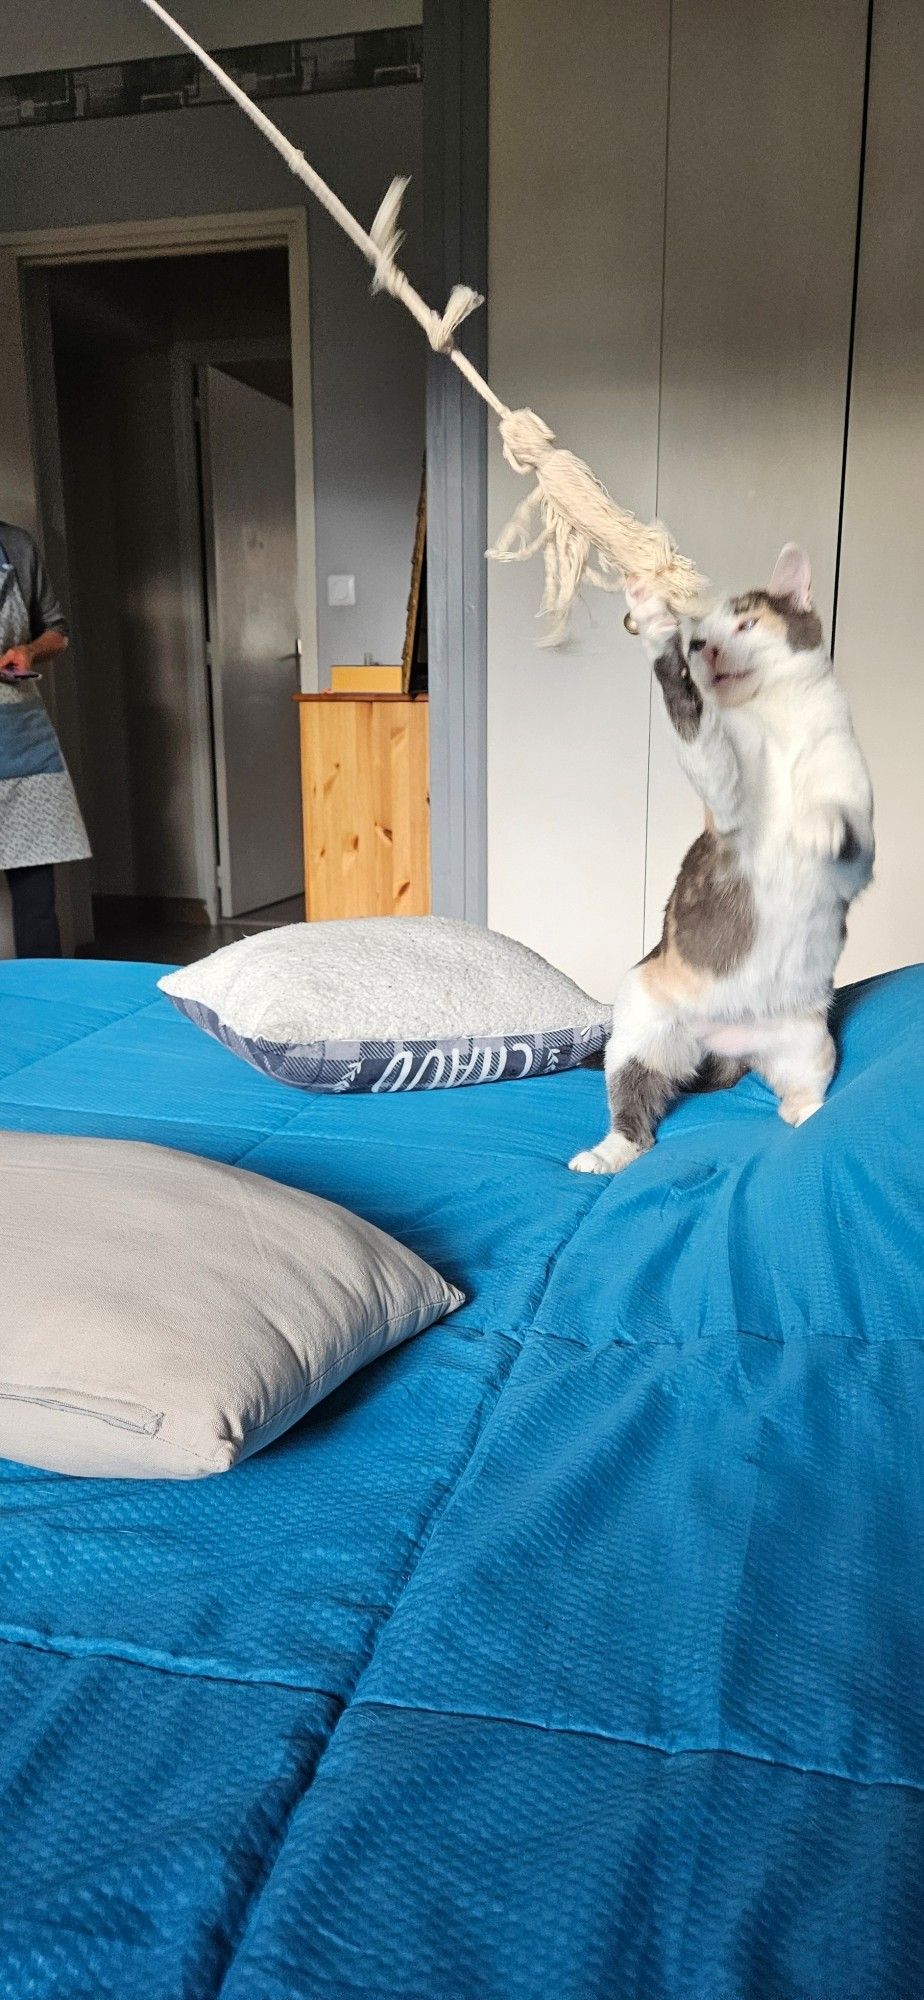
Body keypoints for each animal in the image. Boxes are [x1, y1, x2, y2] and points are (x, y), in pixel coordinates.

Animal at [572, 540, 872, 1176]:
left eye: (746, 623)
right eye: (696, 640)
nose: (704, 647)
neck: (780, 721)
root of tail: (727, 1044)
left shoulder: (859, 838)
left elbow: (845, 828)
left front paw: (820, 826)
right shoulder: (726, 798)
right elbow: (695, 721)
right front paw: (655, 625)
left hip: (809, 1042)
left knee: (802, 1091)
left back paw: (806, 1117)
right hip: (638, 1027)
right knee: (635, 1114)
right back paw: (607, 1153)